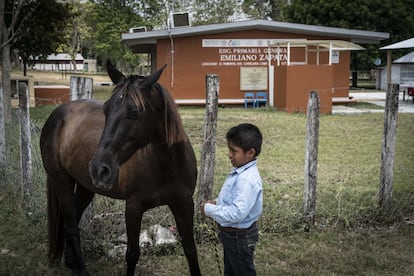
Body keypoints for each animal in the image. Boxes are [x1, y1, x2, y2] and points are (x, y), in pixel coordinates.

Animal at [40, 61, 201, 274]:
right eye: (106, 109)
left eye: (136, 111)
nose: (99, 169)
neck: (167, 165)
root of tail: (56, 115)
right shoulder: (133, 207)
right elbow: (132, 254)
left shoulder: (183, 204)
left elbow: (190, 250)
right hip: (62, 182)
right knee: (72, 226)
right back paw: (80, 269)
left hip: (85, 188)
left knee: (71, 223)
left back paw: (71, 263)